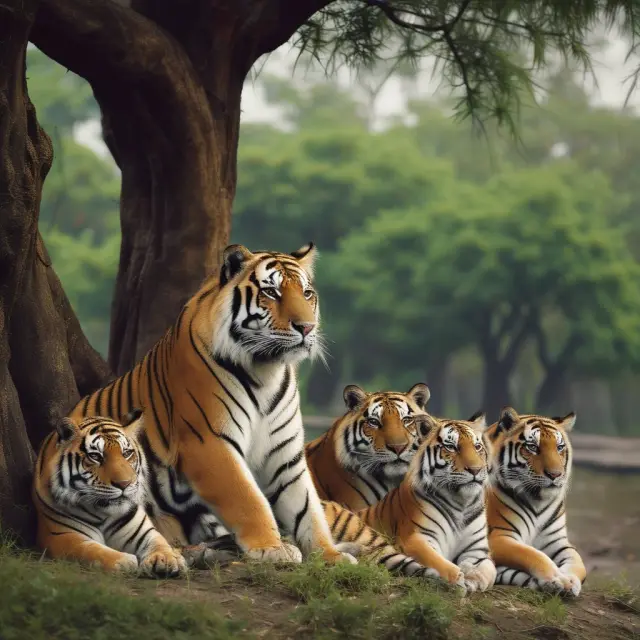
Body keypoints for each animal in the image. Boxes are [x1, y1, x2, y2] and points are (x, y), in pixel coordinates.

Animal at [32, 410, 186, 577]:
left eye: (126, 453)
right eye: (95, 456)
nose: (124, 483)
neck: (103, 512)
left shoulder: (142, 530)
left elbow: (158, 541)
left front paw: (167, 558)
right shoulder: (61, 535)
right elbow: (91, 550)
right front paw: (125, 561)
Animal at [68, 243, 354, 566]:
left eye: (306, 294)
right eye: (272, 292)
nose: (306, 327)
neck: (266, 370)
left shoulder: (285, 453)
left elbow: (308, 509)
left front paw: (329, 555)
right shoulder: (209, 443)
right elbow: (248, 498)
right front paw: (271, 547)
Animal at [354, 412, 496, 594]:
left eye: (477, 447)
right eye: (451, 447)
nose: (476, 469)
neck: (462, 503)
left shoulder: (477, 550)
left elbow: (489, 570)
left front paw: (474, 578)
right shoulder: (416, 539)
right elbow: (441, 564)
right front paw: (459, 580)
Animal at [486, 407, 586, 597]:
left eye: (559, 447)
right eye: (532, 447)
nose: (555, 474)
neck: (538, 501)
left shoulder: (559, 542)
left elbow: (578, 563)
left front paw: (571, 580)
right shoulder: (498, 536)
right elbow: (533, 554)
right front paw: (558, 579)